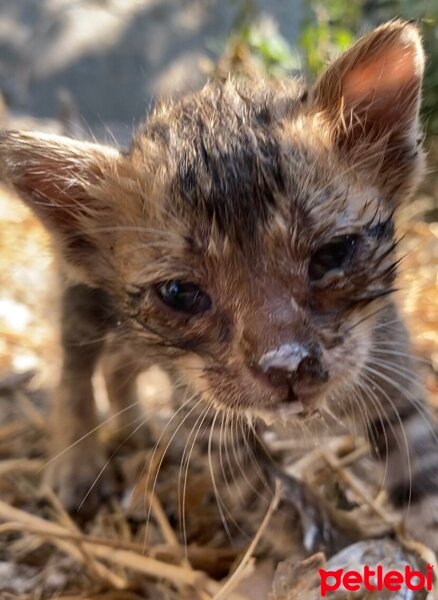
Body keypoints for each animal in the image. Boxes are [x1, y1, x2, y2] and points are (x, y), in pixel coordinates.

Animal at [0, 21, 438, 552]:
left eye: (332, 255)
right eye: (179, 294)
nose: (287, 366)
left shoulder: (394, 383)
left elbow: (424, 485)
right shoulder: (213, 431)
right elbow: (275, 505)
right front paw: (331, 539)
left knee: (118, 364)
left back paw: (137, 429)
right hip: (82, 304)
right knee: (76, 370)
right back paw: (76, 467)